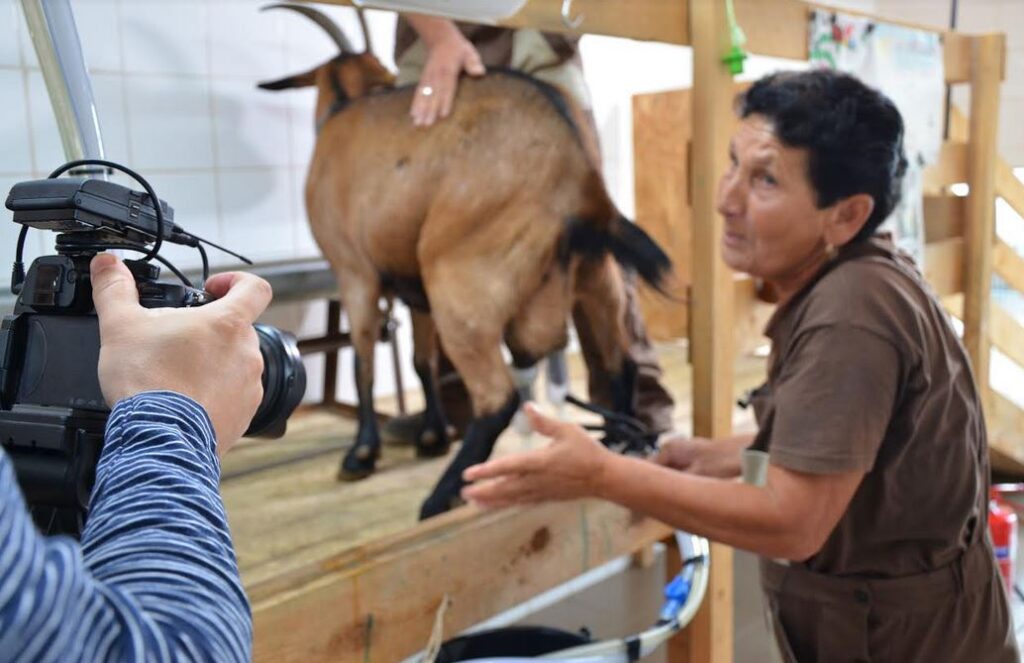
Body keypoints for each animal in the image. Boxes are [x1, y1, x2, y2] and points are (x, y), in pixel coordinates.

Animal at [258, 6, 671, 524]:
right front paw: (431, 434)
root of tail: (580, 176)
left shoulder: (355, 272)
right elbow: (421, 361)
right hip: (597, 282)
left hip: (460, 283)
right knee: (620, 362)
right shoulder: (413, 288)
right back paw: (617, 444)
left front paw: (361, 453)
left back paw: (442, 496)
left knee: (498, 397)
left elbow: (363, 361)